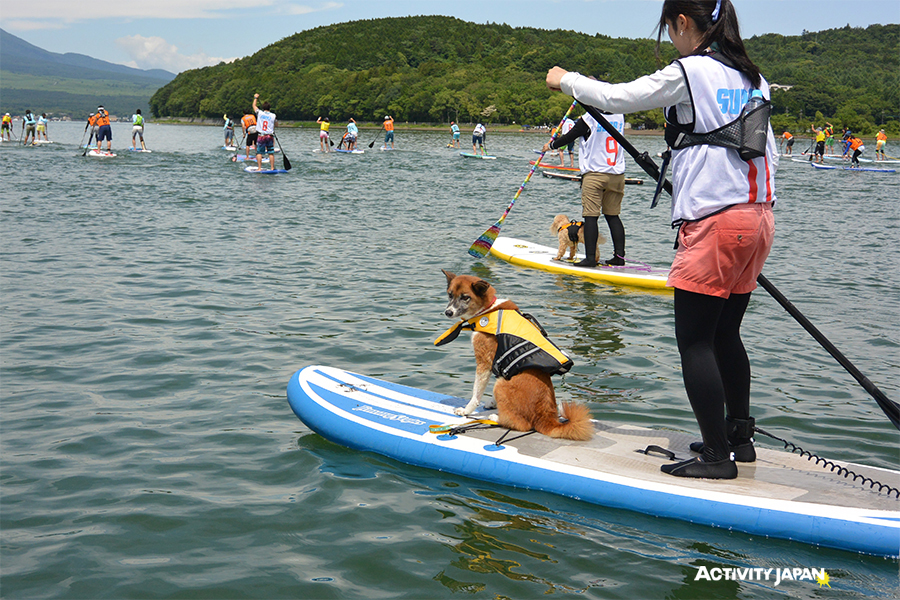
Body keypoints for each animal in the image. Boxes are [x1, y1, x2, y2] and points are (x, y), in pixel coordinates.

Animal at [434, 270, 596, 440]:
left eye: (465, 297)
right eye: (450, 294)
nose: (448, 312)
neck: (488, 309)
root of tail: (546, 417)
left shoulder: (484, 363)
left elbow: (476, 393)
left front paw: (466, 410)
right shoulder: (500, 366)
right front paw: (493, 403)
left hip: (502, 385)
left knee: (521, 425)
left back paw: (497, 418)